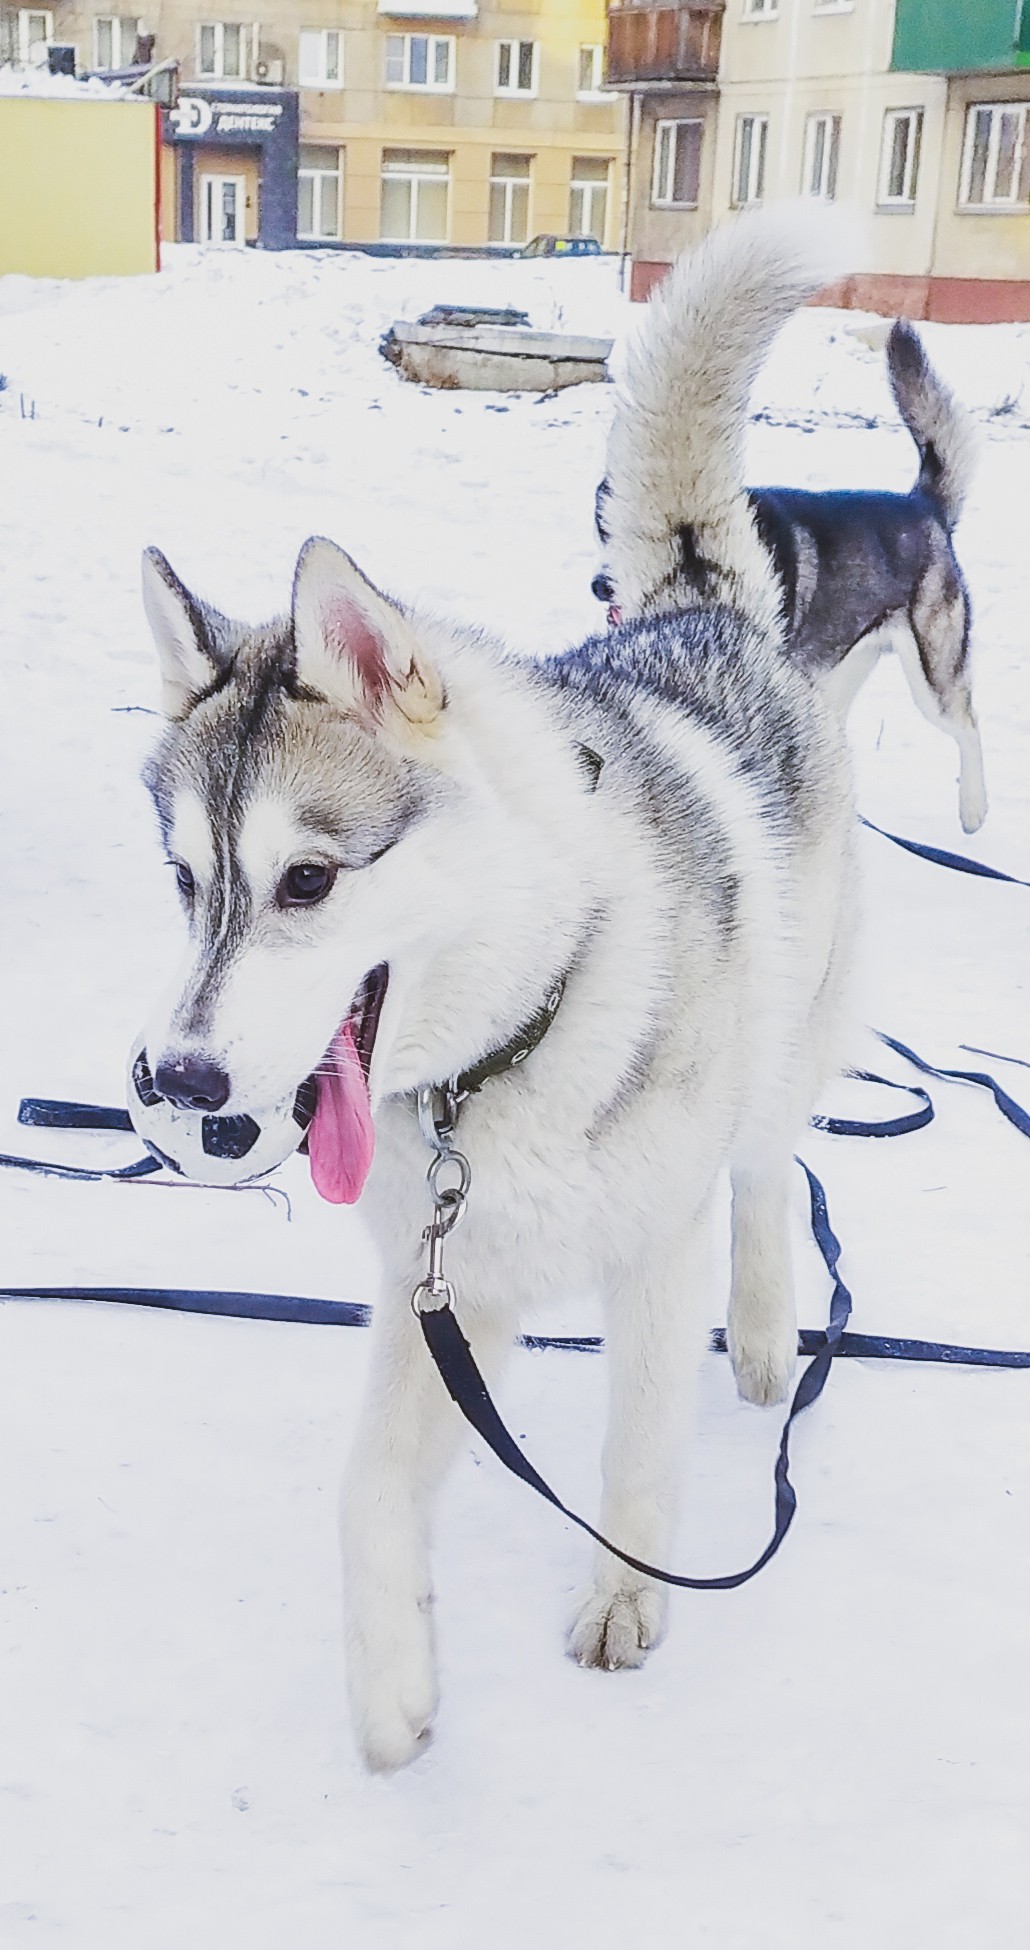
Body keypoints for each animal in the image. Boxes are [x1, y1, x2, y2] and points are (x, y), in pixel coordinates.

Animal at [134, 205, 854, 1778]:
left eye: (307, 881)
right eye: (185, 880)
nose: (178, 1086)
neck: (518, 1035)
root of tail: (692, 610)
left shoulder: (652, 1254)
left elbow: (635, 1449)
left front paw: (626, 1600)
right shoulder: (442, 1292)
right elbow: (362, 1495)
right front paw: (394, 1690)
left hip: (788, 1048)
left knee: (771, 1169)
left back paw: (772, 1333)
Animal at [593, 317, 987, 830]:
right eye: (602, 525)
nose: (600, 585)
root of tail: (925, 505)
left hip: (933, 676)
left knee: (967, 724)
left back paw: (973, 807)